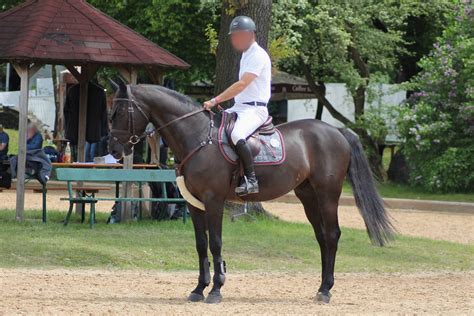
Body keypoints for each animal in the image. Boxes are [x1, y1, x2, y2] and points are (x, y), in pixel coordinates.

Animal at [109, 81, 394, 304]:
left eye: (120, 110)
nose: (113, 148)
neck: (199, 137)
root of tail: (337, 131)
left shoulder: (213, 201)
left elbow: (215, 242)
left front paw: (216, 289)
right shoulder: (194, 204)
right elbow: (201, 244)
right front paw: (198, 289)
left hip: (327, 195)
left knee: (333, 235)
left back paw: (325, 291)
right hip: (308, 197)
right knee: (322, 237)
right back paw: (322, 287)